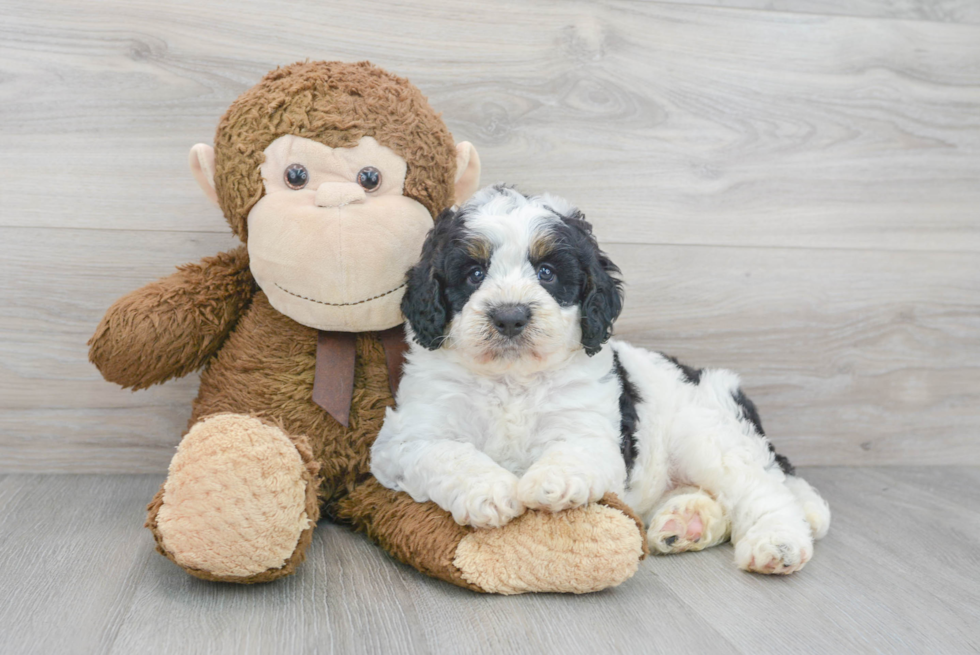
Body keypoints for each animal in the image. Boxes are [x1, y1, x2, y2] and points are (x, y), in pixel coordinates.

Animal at [372, 184, 832, 576]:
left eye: (546, 272)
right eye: (474, 273)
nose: (510, 316)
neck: (512, 380)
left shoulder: (592, 429)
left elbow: (572, 451)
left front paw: (551, 482)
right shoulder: (407, 438)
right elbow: (448, 454)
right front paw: (488, 490)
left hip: (709, 435)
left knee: (763, 487)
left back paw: (778, 543)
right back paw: (686, 523)